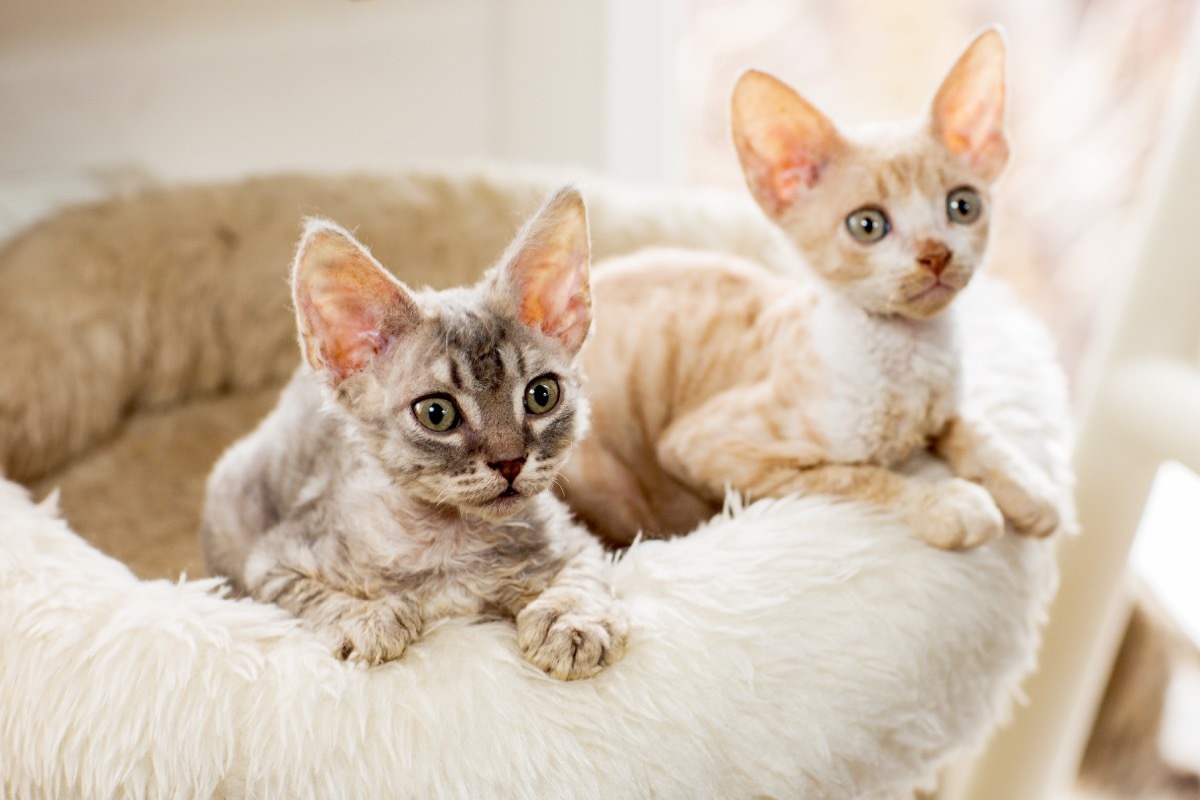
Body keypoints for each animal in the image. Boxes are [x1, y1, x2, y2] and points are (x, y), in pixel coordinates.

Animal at [199, 190, 628, 681]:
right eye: (436, 414)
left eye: (542, 395)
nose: (510, 461)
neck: (451, 545)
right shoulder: (271, 562)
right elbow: (310, 599)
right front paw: (367, 617)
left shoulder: (577, 540)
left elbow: (583, 576)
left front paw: (572, 622)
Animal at [561, 26, 1060, 551]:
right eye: (868, 225)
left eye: (962, 206)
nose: (935, 254)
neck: (910, 363)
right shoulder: (704, 445)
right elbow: (851, 475)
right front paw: (945, 502)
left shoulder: (942, 407)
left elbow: (967, 426)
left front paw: (1027, 486)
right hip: (610, 482)